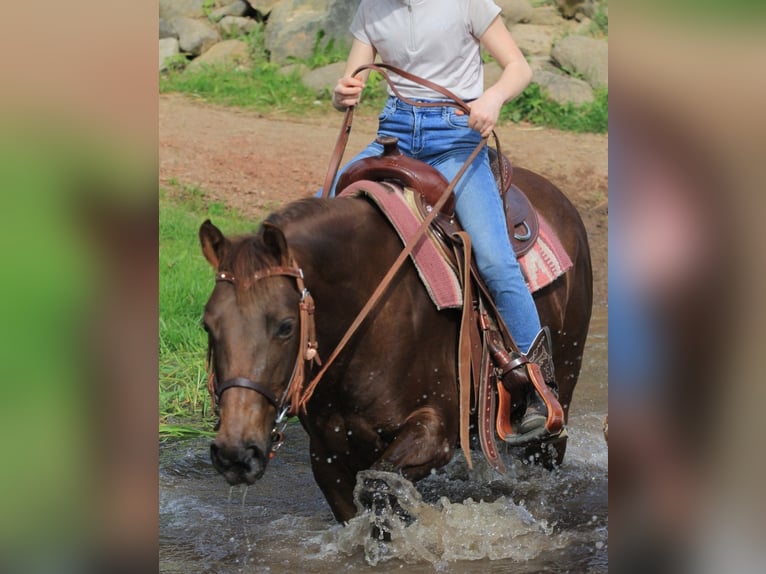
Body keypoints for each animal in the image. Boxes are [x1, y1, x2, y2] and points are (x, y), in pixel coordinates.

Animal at [198, 155, 592, 524]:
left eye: (285, 326)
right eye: (207, 326)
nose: (235, 453)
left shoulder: (434, 432)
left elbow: (379, 485)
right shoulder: (326, 455)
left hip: (560, 398)